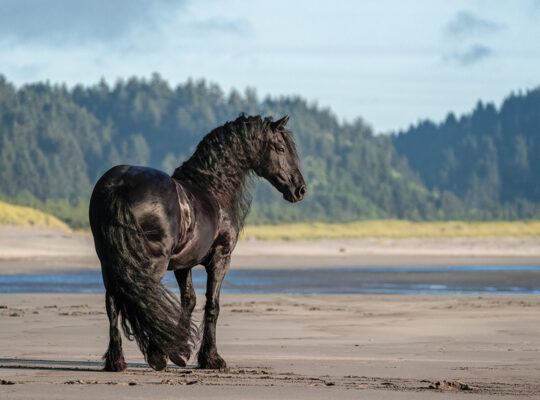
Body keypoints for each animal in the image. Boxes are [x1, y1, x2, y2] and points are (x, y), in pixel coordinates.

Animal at [90, 114, 306, 370]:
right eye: (280, 148)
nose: (300, 189)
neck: (213, 187)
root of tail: (120, 184)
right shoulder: (220, 258)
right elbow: (212, 305)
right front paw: (211, 358)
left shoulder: (183, 264)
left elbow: (189, 300)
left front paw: (180, 352)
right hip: (150, 262)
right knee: (143, 296)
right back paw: (155, 355)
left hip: (109, 262)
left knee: (113, 302)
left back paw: (117, 360)